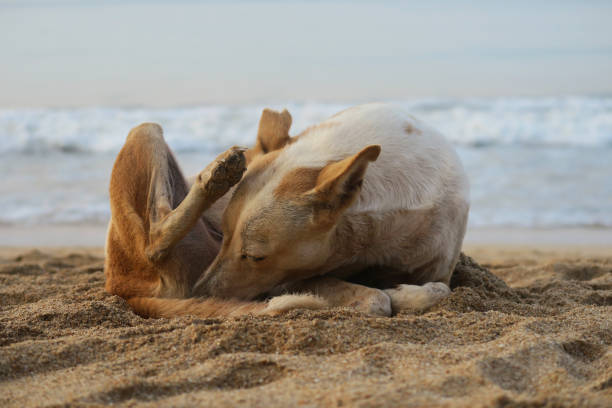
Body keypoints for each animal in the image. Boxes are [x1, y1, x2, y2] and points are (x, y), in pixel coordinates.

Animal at [104, 103, 468, 318]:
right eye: (224, 236)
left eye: (256, 256)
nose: (201, 293)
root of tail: (117, 285)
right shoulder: (291, 278)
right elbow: (378, 300)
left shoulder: (436, 263)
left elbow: (438, 289)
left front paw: (401, 291)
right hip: (145, 133)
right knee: (154, 240)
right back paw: (216, 177)